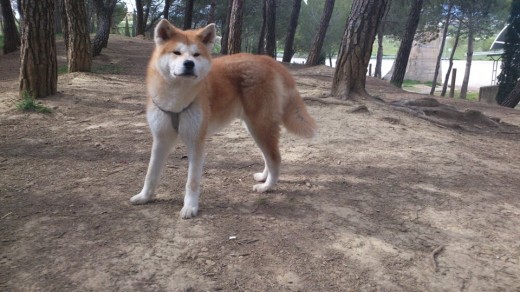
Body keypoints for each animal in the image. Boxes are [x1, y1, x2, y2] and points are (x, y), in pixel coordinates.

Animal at [131, 18, 316, 219]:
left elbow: (192, 182)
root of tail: (269, 60)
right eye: (177, 52)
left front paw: (190, 207)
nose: (189, 64)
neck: (176, 100)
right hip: (255, 128)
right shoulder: (161, 140)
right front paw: (144, 197)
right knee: (269, 157)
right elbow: (151, 174)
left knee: (275, 158)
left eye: (196, 54)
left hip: (260, 127)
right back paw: (264, 177)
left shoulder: (196, 143)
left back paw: (267, 186)